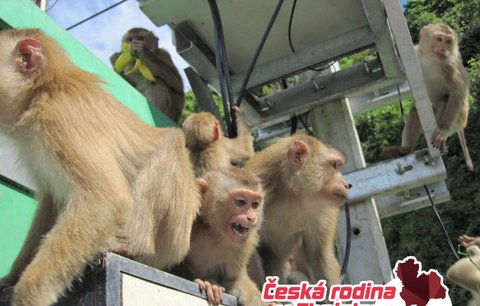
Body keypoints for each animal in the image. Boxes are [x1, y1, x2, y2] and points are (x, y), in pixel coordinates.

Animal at [0, 28, 201, 306]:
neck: (44, 90)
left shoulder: (60, 120)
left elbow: (104, 200)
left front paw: (29, 295)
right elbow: (52, 202)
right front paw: (10, 278)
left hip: (174, 234)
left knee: (169, 145)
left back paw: (134, 244)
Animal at [169, 167, 266, 306]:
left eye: (255, 204)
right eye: (241, 202)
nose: (252, 217)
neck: (215, 233)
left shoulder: (246, 244)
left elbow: (234, 280)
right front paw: (209, 284)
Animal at [382, 23, 472, 172]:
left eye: (448, 41)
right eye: (440, 39)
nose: (443, 49)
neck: (431, 59)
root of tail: (462, 125)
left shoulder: (449, 65)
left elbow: (457, 93)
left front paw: (442, 131)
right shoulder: (416, 53)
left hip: (458, 119)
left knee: (445, 101)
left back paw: (441, 142)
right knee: (415, 112)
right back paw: (405, 150)